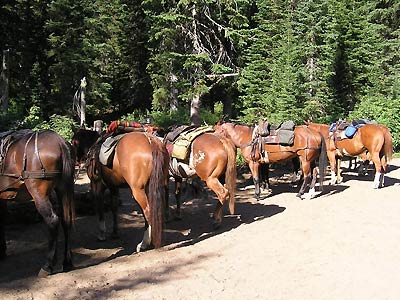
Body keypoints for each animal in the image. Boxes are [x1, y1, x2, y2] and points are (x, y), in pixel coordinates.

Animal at [0, 129, 75, 276]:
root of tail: (60, 142)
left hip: (39, 194)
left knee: (52, 220)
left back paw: (48, 265)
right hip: (62, 189)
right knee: (66, 221)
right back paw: (66, 262)